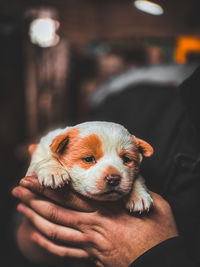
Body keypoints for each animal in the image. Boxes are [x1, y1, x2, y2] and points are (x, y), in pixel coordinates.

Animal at [26, 121, 154, 214]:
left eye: (126, 159)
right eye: (89, 159)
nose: (113, 179)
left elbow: (138, 178)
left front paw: (139, 197)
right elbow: (47, 158)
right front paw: (53, 172)